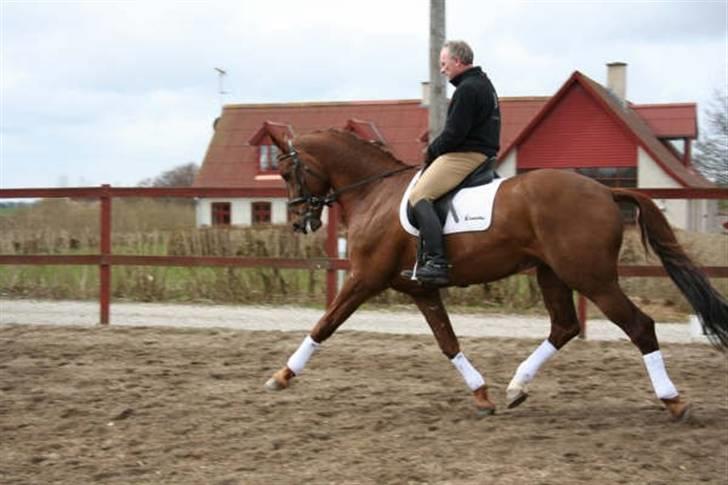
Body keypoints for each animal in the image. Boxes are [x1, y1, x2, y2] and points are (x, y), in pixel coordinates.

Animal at [264, 130, 724, 420]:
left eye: (287, 173)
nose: (300, 223)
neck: (373, 192)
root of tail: (606, 191)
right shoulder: (420, 290)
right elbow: (448, 342)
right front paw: (482, 395)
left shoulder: (365, 278)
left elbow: (324, 325)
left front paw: (281, 376)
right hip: (553, 274)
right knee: (564, 326)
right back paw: (517, 387)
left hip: (592, 278)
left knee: (639, 326)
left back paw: (674, 401)